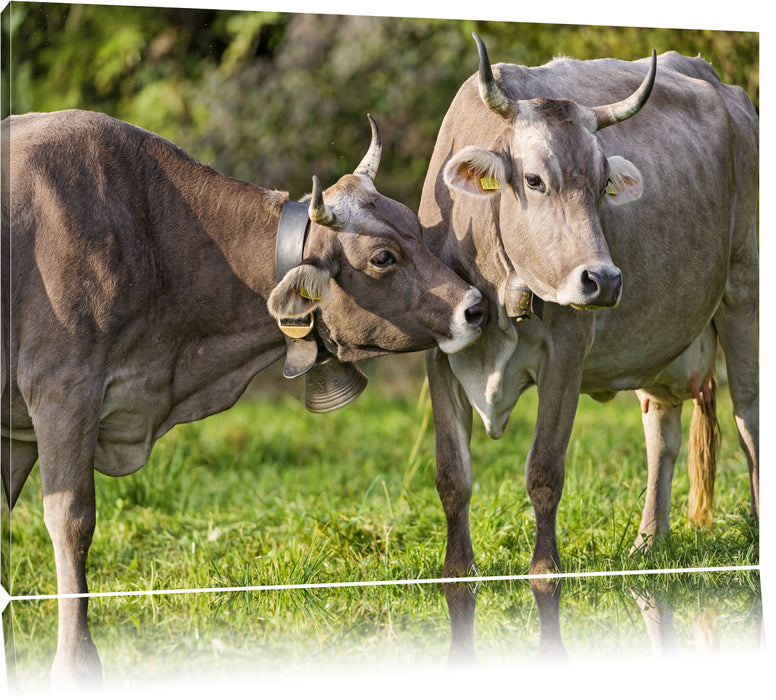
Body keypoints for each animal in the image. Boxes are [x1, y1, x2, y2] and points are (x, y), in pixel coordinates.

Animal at [1, 109, 484, 684]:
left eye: (414, 223)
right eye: (383, 258)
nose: (475, 306)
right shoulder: (62, 391)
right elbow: (71, 521)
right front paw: (76, 663)